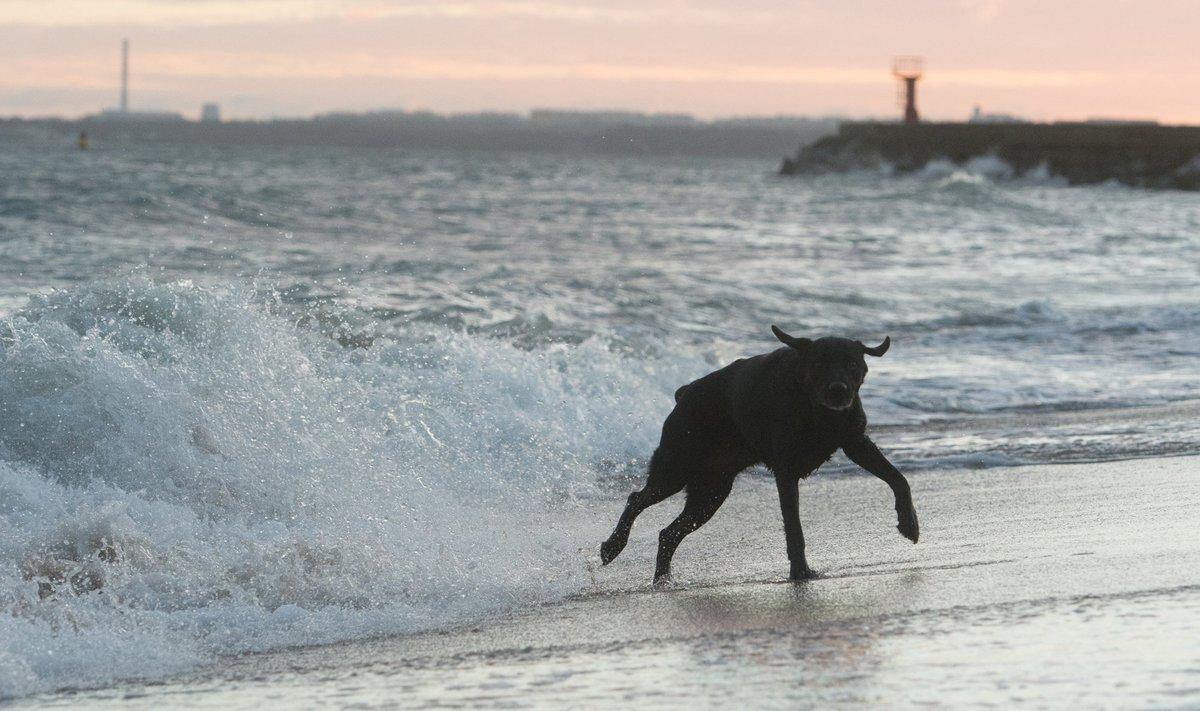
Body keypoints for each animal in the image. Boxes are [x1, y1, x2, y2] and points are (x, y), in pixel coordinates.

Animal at [600, 326, 916, 583]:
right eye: (819, 363)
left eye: (851, 363)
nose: (838, 390)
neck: (813, 406)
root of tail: (685, 392)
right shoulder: (786, 471)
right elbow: (794, 526)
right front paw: (800, 571)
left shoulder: (856, 442)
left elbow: (898, 479)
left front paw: (909, 522)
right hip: (675, 467)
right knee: (637, 499)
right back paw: (613, 546)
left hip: (711, 492)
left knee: (669, 532)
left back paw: (663, 580)